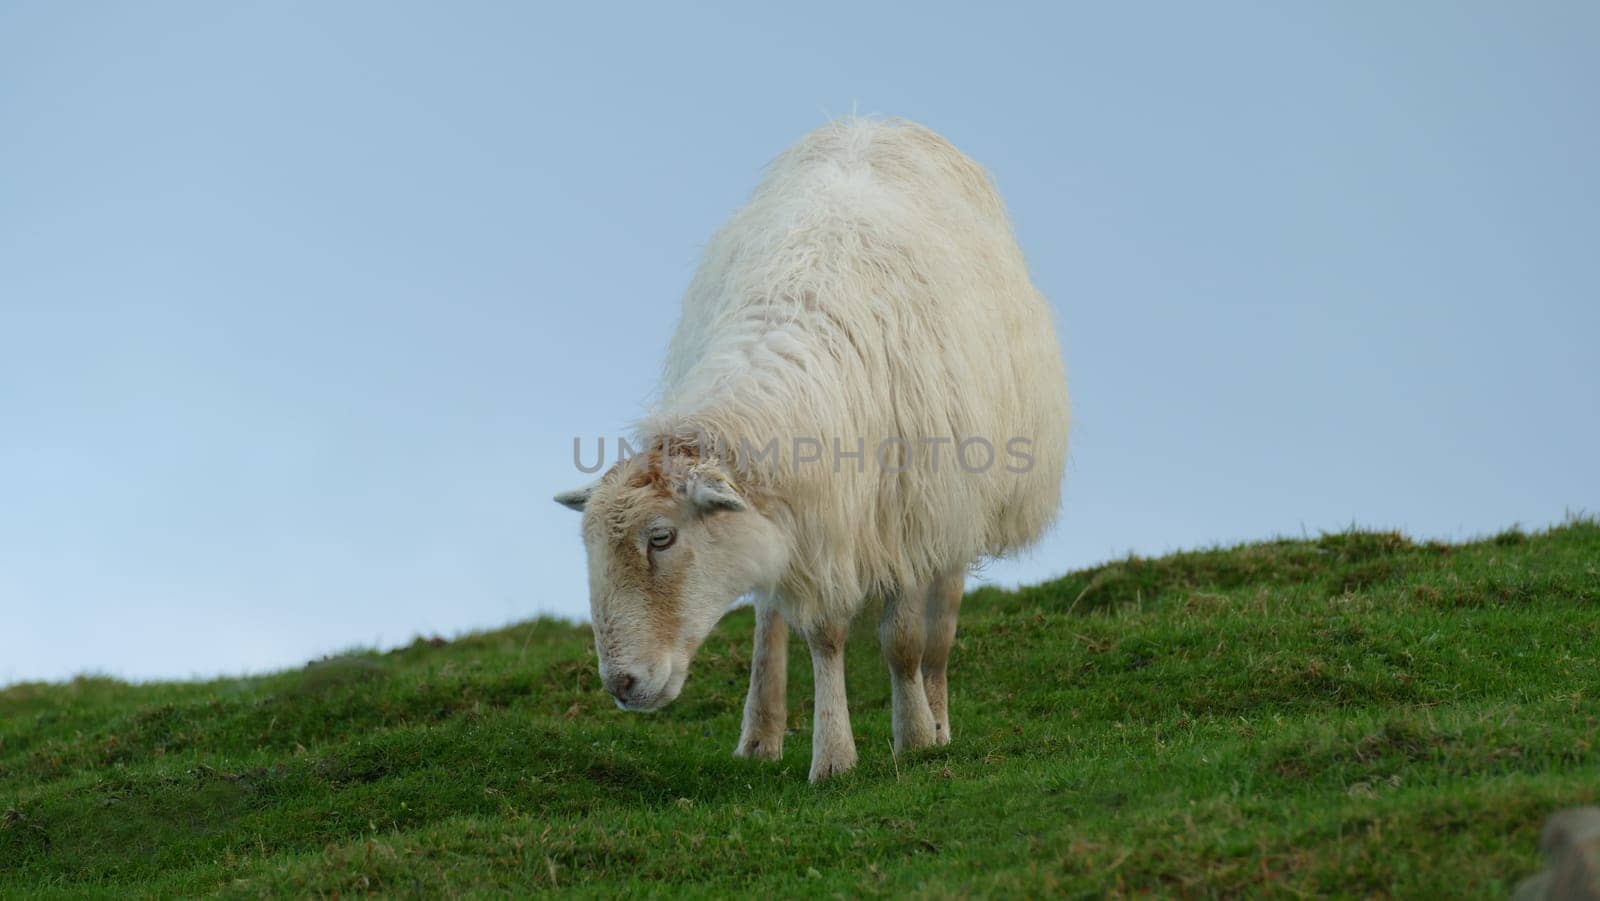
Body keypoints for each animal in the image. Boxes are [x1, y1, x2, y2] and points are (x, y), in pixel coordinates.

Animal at [556, 118, 1068, 784]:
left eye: (661, 538)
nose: (620, 684)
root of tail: (872, 119)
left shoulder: (907, 512)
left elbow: (904, 640)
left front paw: (912, 736)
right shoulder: (812, 515)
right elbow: (821, 633)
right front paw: (834, 754)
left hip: (959, 498)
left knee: (941, 618)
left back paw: (936, 716)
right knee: (770, 618)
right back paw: (760, 732)